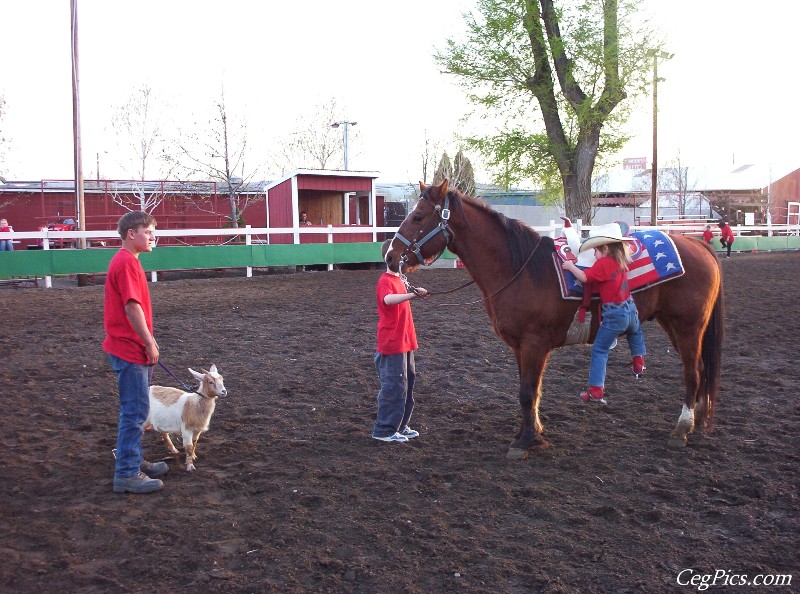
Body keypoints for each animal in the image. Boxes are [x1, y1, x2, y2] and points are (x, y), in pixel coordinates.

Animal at [388, 179, 724, 458]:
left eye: (418, 217)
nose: (390, 256)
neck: (519, 269)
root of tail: (698, 245)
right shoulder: (520, 346)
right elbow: (530, 392)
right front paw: (531, 433)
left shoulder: (534, 343)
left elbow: (527, 393)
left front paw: (525, 442)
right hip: (672, 324)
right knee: (699, 370)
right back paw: (695, 421)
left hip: (688, 326)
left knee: (692, 372)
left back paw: (681, 429)